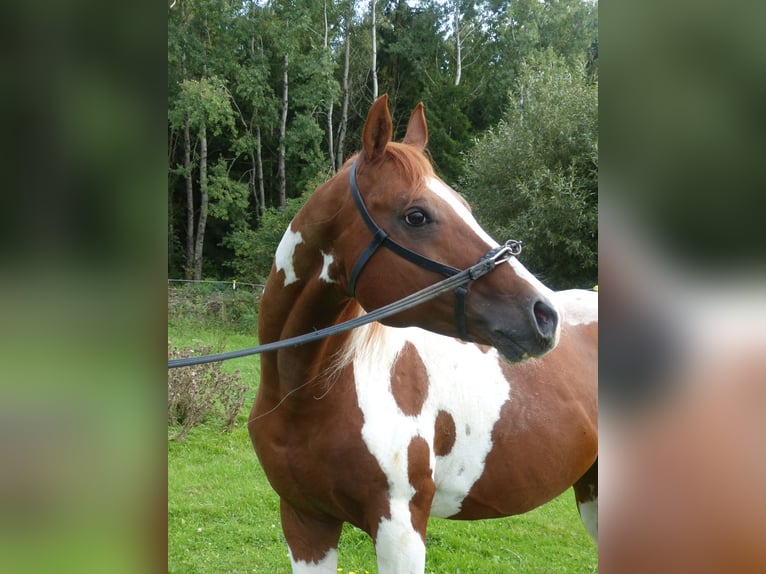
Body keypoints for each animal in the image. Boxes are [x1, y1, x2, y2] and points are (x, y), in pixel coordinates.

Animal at [249, 95, 598, 573]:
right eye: (416, 215)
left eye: (464, 206)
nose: (544, 314)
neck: (306, 394)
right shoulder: (305, 524)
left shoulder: (400, 529)